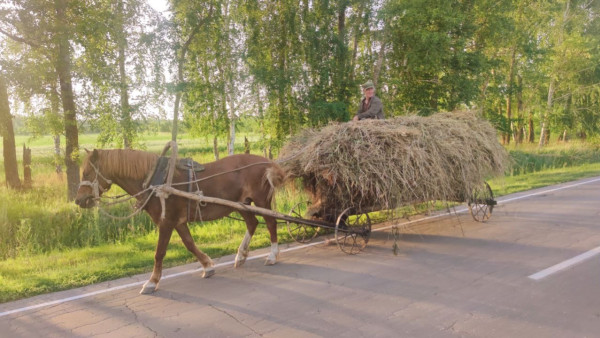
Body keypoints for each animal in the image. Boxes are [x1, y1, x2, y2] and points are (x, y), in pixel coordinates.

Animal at [75, 148, 286, 294]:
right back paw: (241, 255)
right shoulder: (178, 222)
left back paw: (272, 255)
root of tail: (267, 161)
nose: (79, 200)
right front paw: (207, 266)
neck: (155, 181)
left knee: (271, 223)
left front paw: (152, 282)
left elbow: (159, 253)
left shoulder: (166, 222)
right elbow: (190, 244)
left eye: (87, 173)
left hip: (261, 201)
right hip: (242, 204)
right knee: (252, 223)